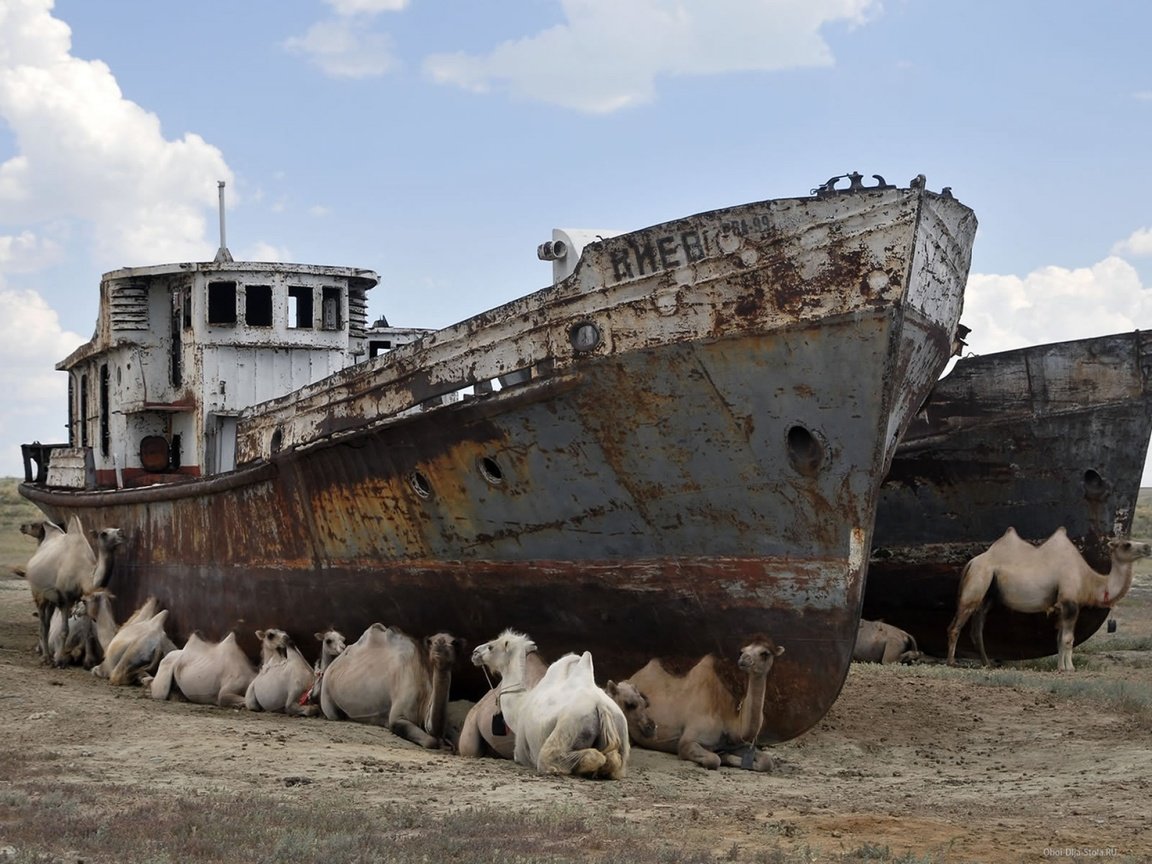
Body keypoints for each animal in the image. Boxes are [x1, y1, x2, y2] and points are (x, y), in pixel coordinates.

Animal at [320, 622, 463, 751]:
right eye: (432, 642)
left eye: (454, 642)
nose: (441, 644)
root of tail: (331, 665)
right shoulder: (397, 718)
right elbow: (430, 741)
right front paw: (443, 745)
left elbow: (456, 736)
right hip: (326, 691)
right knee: (334, 714)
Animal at [467, 631, 631, 783]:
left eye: (491, 647)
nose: (474, 652)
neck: (520, 706)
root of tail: (601, 706)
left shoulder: (520, 751)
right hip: (621, 730)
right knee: (614, 759)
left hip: (568, 727)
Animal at [617, 635, 787, 769]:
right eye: (742, 651)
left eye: (765, 653)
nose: (744, 660)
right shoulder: (687, 741)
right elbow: (714, 759)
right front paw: (723, 757)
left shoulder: (734, 743)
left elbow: (767, 761)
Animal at [944, 527, 1152, 677]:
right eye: (1127, 544)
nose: (1147, 547)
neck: (1088, 579)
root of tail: (971, 563)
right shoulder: (1069, 602)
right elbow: (1069, 639)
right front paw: (1069, 668)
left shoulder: (1061, 606)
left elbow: (1059, 639)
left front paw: (1061, 667)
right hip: (977, 582)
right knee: (956, 624)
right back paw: (951, 662)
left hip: (989, 593)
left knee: (977, 626)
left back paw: (986, 663)